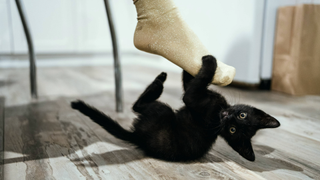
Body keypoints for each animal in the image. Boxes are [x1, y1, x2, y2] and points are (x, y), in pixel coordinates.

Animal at [70, 55, 280, 162]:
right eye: (242, 115)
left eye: (232, 130)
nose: (228, 117)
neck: (219, 111)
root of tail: (138, 138)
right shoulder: (197, 94)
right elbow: (191, 81)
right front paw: (191, 64)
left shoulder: (193, 98)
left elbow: (199, 80)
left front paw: (209, 60)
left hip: (163, 111)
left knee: (138, 106)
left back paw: (158, 83)